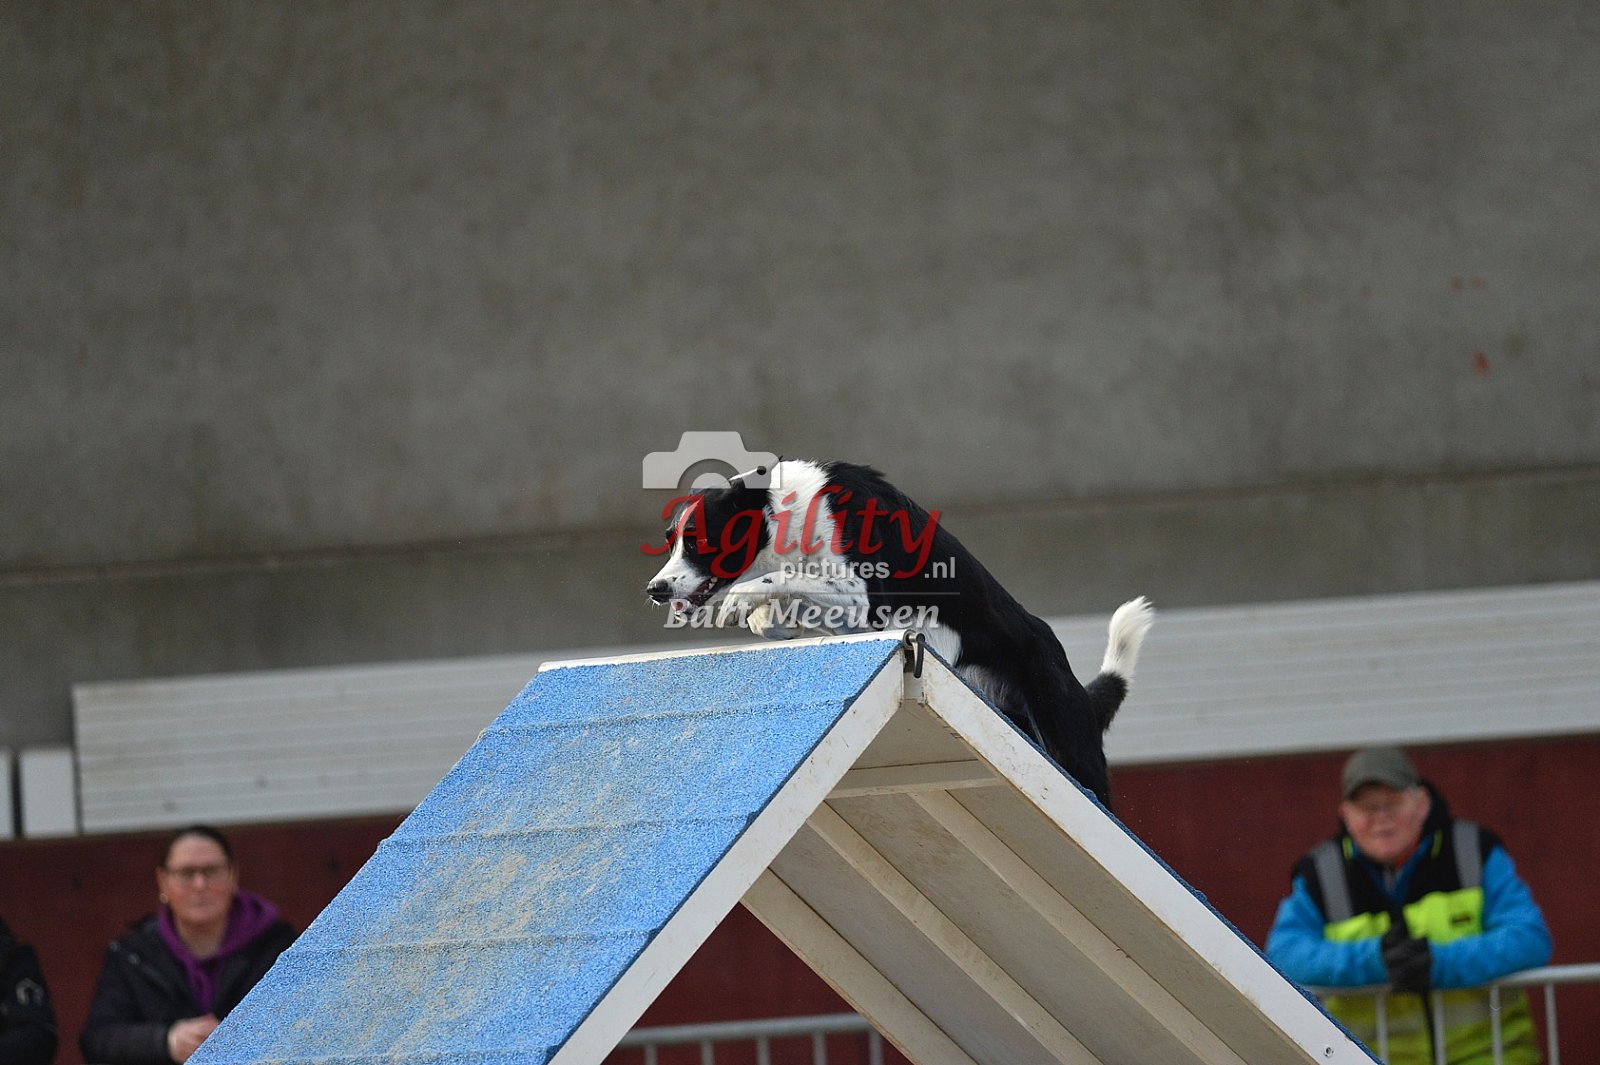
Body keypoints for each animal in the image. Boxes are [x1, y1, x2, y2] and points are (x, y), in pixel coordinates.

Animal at [644, 458, 1153, 807]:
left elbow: (776, 577)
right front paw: (766, 620)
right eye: (670, 542)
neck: (790, 515)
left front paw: (742, 599)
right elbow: (775, 605)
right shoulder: (851, 614)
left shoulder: (864, 593)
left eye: (700, 541)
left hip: (1069, 745)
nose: (655, 590)